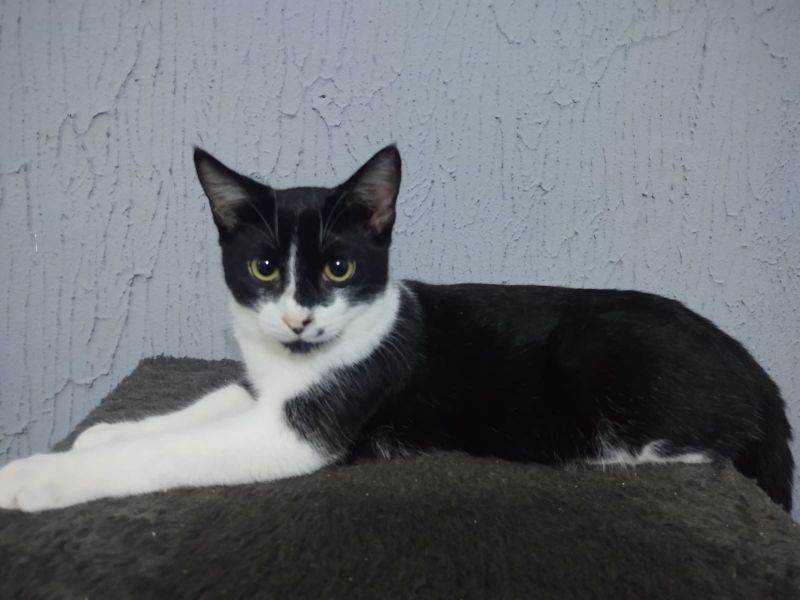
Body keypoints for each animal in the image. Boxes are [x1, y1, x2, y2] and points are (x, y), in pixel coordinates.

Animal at [0, 145, 793, 512]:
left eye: (340, 267)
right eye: (263, 267)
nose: (299, 316)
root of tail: (762, 378)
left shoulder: (303, 431)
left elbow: (175, 453)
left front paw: (37, 476)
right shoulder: (263, 389)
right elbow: (208, 403)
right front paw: (102, 432)